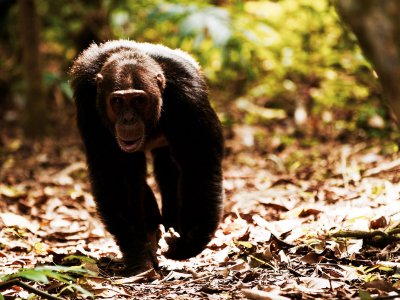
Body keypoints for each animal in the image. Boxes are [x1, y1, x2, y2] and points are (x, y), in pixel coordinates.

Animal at [70, 39, 223, 274]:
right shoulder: (87, 100)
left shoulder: (189, 97)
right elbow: (115, 172)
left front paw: (187, 243)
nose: (128, 119)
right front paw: (138, 254)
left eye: (138, 100)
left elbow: (198, 162)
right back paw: (152, 233)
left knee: (169, 167)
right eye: (117, 101)